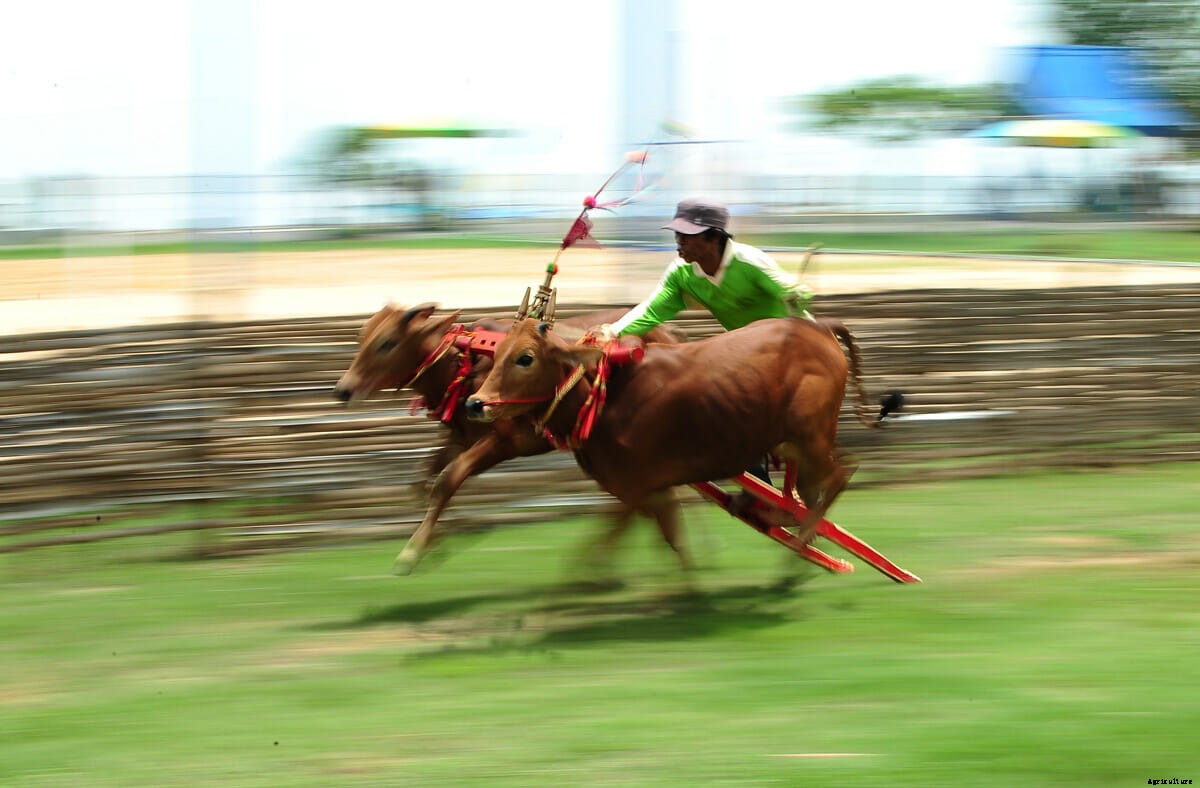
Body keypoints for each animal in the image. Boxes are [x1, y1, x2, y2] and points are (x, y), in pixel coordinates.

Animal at [333, 303, 687, 575]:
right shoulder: (458, 440)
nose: (343, 390)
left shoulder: (499, 443)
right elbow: (423, 481)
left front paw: (412, 553)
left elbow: (447, 480)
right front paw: (442, 540)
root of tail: (671, 333)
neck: (465, 365)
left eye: (387, 342)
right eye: (362, 336)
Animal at [465, 315, 888, 549]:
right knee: (809, 492)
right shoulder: (649, 492)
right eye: (496, 353)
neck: (607, 397)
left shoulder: (635, 489)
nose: (475, 403)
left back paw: (800, 536)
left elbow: (598, 549)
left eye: (525, 358)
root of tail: (817, 328)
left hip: (811, 436)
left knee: (842, 472)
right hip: (796, 445)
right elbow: (668, 538)